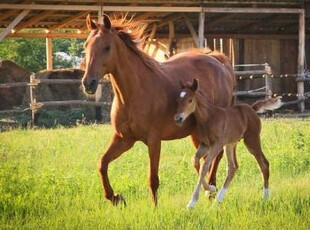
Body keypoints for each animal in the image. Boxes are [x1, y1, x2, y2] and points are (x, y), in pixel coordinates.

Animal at [82, 13, 235, 205]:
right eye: (86, 45)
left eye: (107, 47)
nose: (88, 83)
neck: (134, 92)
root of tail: (219, 62)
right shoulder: (123, 139)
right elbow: (102, 164)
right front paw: (115, 197)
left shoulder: (154, 140)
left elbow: (153, 179)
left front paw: (154, 208)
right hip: (196, 133)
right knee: (204, 159)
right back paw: (208, 189)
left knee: (216, 155)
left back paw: (211, 190)